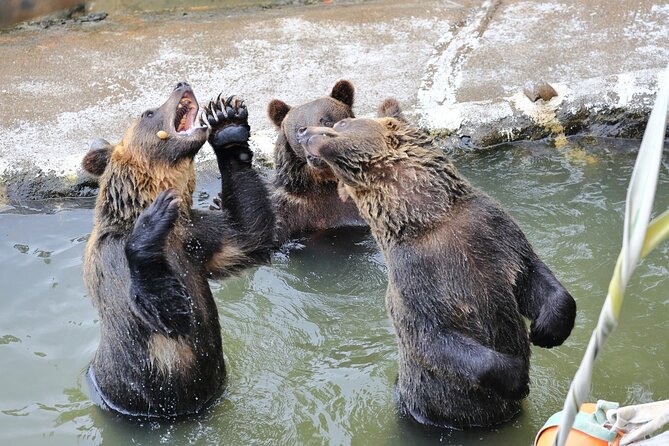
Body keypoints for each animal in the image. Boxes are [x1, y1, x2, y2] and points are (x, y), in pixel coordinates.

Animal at [81, 82, 275, 417]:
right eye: (148, 112)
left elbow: (247, 235)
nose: (180, 84)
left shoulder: (197, 237)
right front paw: (151, 222)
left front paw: (227, 123)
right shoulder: (113, 260)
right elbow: (165, 312)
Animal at [296, 98, 577, 428]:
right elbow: (432, 339)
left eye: (339, 123)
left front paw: (546, 330)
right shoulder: (415, 277)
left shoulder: (492, 232)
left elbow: (531, 273)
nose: (303, 132)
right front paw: (518, 377)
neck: (429, 217)